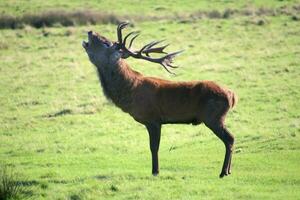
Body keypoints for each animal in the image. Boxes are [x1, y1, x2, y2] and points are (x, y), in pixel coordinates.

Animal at [81, 22, 237, 178]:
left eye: (106, 43)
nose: (90, 31)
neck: (131, 92)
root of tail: (232, 95)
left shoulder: (153, 119)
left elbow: (154, 147)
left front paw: (155, 171)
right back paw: (228, 171)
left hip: (214, 117)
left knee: (230, 138)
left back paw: (224, 172)